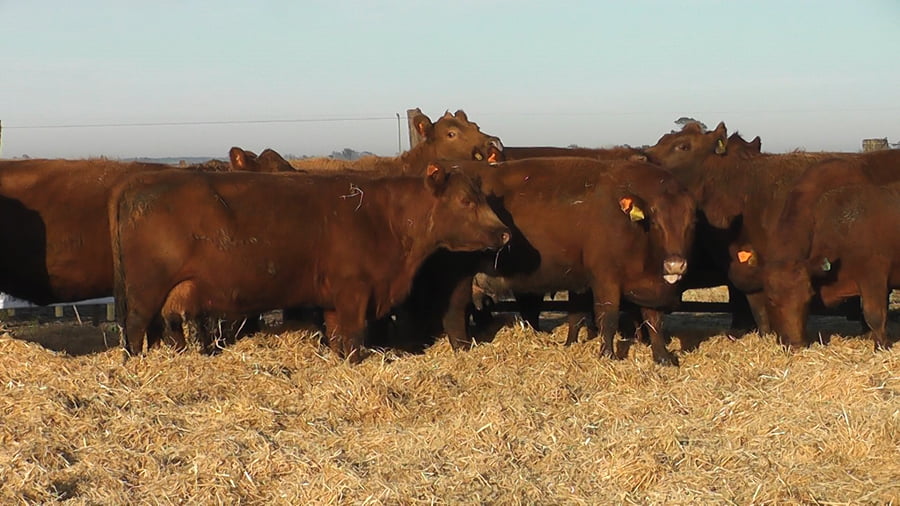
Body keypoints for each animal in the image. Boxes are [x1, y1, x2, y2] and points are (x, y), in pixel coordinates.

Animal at [110, 166, 510, 363]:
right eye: (465, 201)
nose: (505, 233)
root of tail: (139, 179)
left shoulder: (335, 299)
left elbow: (337, 336)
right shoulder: (354, 291)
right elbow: (353, 335)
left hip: (173, 290)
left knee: (168, 324)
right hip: (147, 288)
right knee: (135, 326)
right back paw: (134, 363)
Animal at [404, 157, 696, 365]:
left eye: (691, 222)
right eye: (655, 222)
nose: (676, 265)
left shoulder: (649, 286)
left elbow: (653, 321)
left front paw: (663, 357)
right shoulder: (605, 279)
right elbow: (609, 317)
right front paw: (607, 355)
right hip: (458, 278)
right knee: (454, 313)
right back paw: (463, 349)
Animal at [763, 181, 900, 350]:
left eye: (808, 297)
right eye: (770, 299)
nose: (796, 345)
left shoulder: (874, 276)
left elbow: (874, 315)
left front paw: (881, 346)